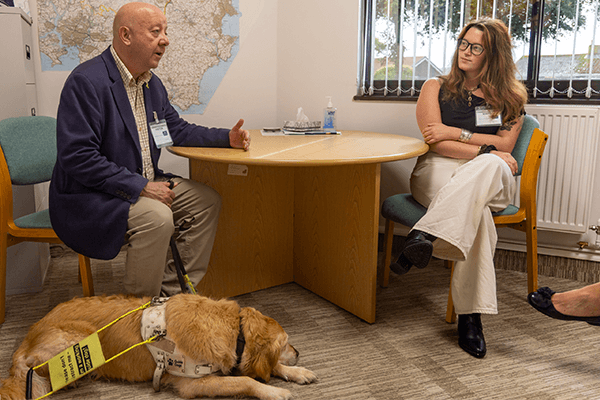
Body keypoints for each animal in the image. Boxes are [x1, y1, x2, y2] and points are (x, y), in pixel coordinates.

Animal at [0, 292, 316, 398]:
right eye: (287, 343)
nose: (299, 352)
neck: (230, 329)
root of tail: (29, 334)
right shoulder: (191, 383)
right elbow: (247, 381)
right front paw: (275, 391)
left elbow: (268, 367)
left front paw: (297, 372)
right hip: (79, 340)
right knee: (35, 369)